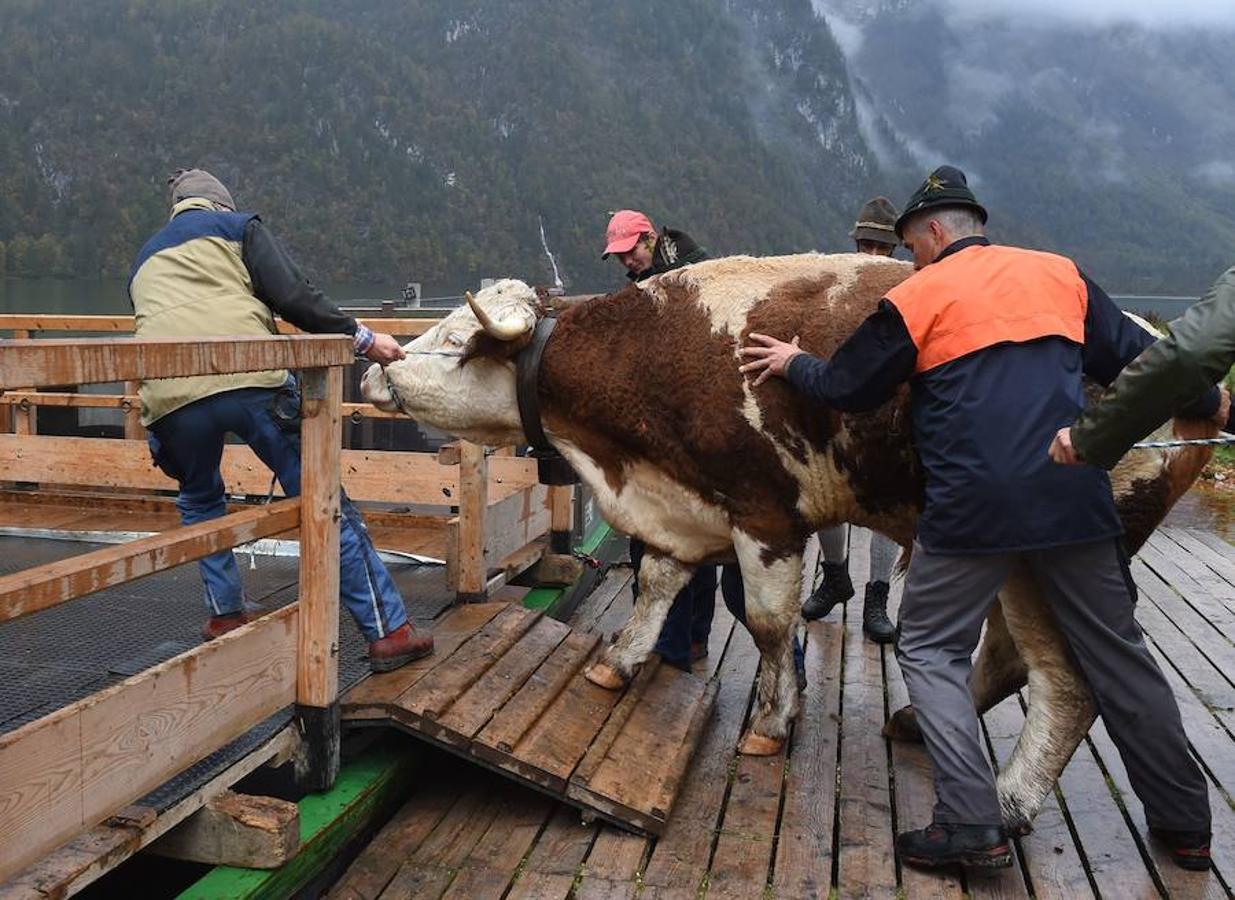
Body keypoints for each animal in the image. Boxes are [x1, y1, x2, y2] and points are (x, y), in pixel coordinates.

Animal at [360, 253, 1210, 829]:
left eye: (460, 343)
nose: (378, 367)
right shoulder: (685, 506)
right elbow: (656, 585)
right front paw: (618, 663)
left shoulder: (765, 517)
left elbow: (771, 625)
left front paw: (773, 724)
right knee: (1005, 656)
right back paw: (918, 724)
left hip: (1046, 562)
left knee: (1065, 683)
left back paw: (1007, 801)